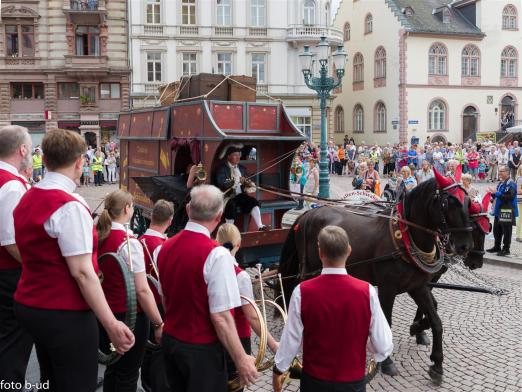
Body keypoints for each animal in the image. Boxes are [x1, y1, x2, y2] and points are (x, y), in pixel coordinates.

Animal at [278, 175, 474, 382]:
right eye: (448, 203)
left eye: (469, 202)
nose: (465, 246)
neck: (404, 238)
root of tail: (308, 214)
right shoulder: (388, 288)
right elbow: (387, 321)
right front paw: (387, 362)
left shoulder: (417, 287)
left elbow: (436, 320)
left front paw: (436, 361)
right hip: (309, 270)